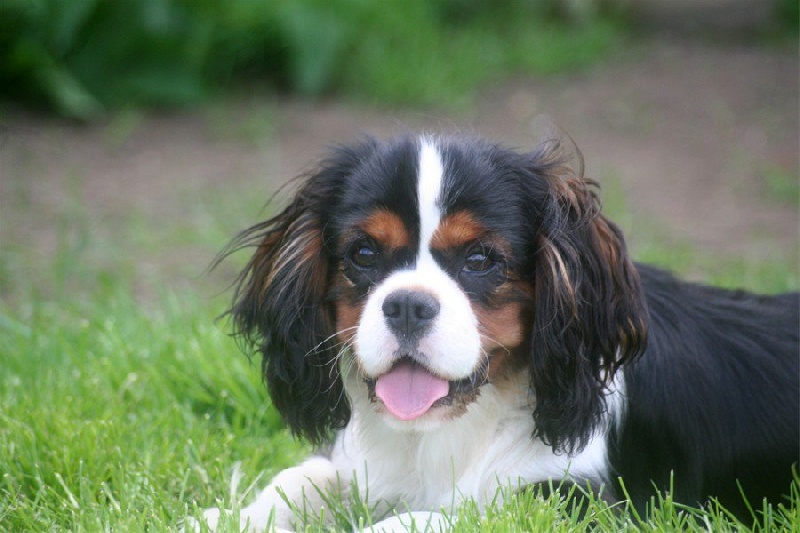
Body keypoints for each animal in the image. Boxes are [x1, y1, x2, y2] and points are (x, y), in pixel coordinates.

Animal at [198, 132, 792, 528]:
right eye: (363, 253)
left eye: (481, 259)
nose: (407, 305)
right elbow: (300, 479)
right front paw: (220, 519)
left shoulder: (578, 504)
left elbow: (435, 519)